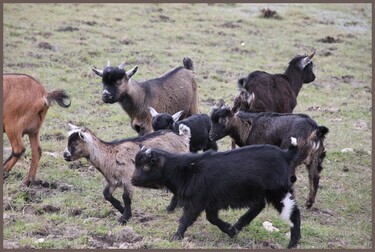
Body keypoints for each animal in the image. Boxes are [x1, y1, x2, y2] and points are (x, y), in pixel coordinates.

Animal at [63, 123, 191, 223]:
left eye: (74, 143)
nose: (65, 155)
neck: (109, 155)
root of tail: (183, 137)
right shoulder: (113, 180)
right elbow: (106, 194)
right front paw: (121, 209)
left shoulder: (128, 178)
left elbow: (126, 197)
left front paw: (124, 218)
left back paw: (171, 208)